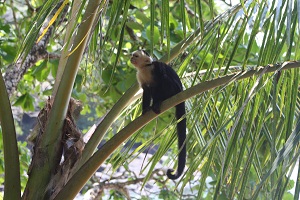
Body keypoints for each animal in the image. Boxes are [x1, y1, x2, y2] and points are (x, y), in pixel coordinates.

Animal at [131, 50, 186, 180]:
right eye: (133, 55)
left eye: (136, 56)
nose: (131, 57)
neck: (145, 68)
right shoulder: (139, 75)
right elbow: (146, 90)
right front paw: (145, 110)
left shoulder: (155, 67)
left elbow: (160, 78)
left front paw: (156, 102)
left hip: (175, 91)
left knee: (163, 80)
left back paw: (160, 101)